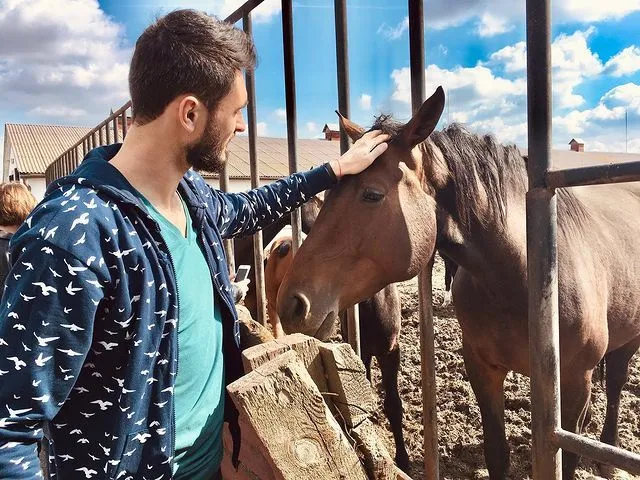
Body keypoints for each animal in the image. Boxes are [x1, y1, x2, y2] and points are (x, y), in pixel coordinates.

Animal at [276, 86, 640, 479]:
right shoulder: (482, 369)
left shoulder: (574, 383)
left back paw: (608, 454)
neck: (521, 280)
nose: (291, 304)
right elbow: (497, 453)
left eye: (371, 194)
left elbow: (569, 458)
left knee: (616, 385)